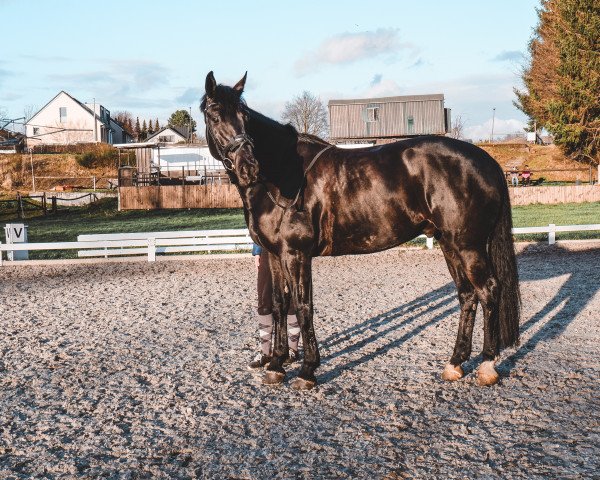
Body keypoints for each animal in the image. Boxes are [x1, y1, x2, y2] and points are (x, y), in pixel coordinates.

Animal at [202, 73, 520, 392]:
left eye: (244, 116)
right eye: (215, 116)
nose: (248, 167)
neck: (283, 175)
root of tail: (486, 161)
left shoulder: (296, 254)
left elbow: (303, 306)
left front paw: (307, 369)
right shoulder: (275, 255)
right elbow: (280, 306)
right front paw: (277, 366)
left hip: (469, 246)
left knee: (488, 290)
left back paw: (487, 365)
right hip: (449, 244)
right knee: (467, 295)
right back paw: (455, 363)